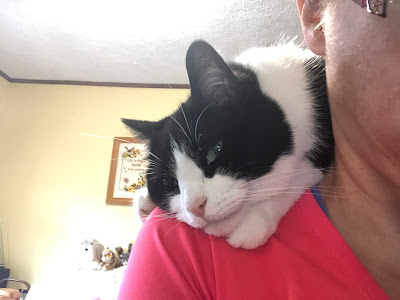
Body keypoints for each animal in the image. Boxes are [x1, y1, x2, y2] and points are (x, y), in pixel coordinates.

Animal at [123, 40, 332, 251]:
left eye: (215, 151)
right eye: (169, 182)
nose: (194, 207)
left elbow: (298, 173)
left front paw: (255, 221)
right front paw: (145, 200)